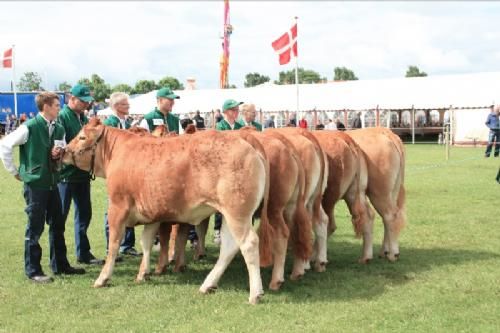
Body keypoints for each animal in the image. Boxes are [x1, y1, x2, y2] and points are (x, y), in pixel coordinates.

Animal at [63, 118, 276, 302]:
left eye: (82, 137)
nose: (63, 151)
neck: (118, 152)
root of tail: (245, 139)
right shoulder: (152, 214)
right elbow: (146, 242)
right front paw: (143, 273)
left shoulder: (117, 207)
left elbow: (114, 244)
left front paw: (103, 278)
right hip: (228, 213)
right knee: (229, 246)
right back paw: (207, 285)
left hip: (237, 212)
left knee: (248, 243)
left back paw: (255, 294)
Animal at [348, 127, 406, 260]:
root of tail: (385, 132)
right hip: (391, 192)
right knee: (387, 218)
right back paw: (384, 251)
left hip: (379, 192)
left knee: (389, 216)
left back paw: (392, 254)